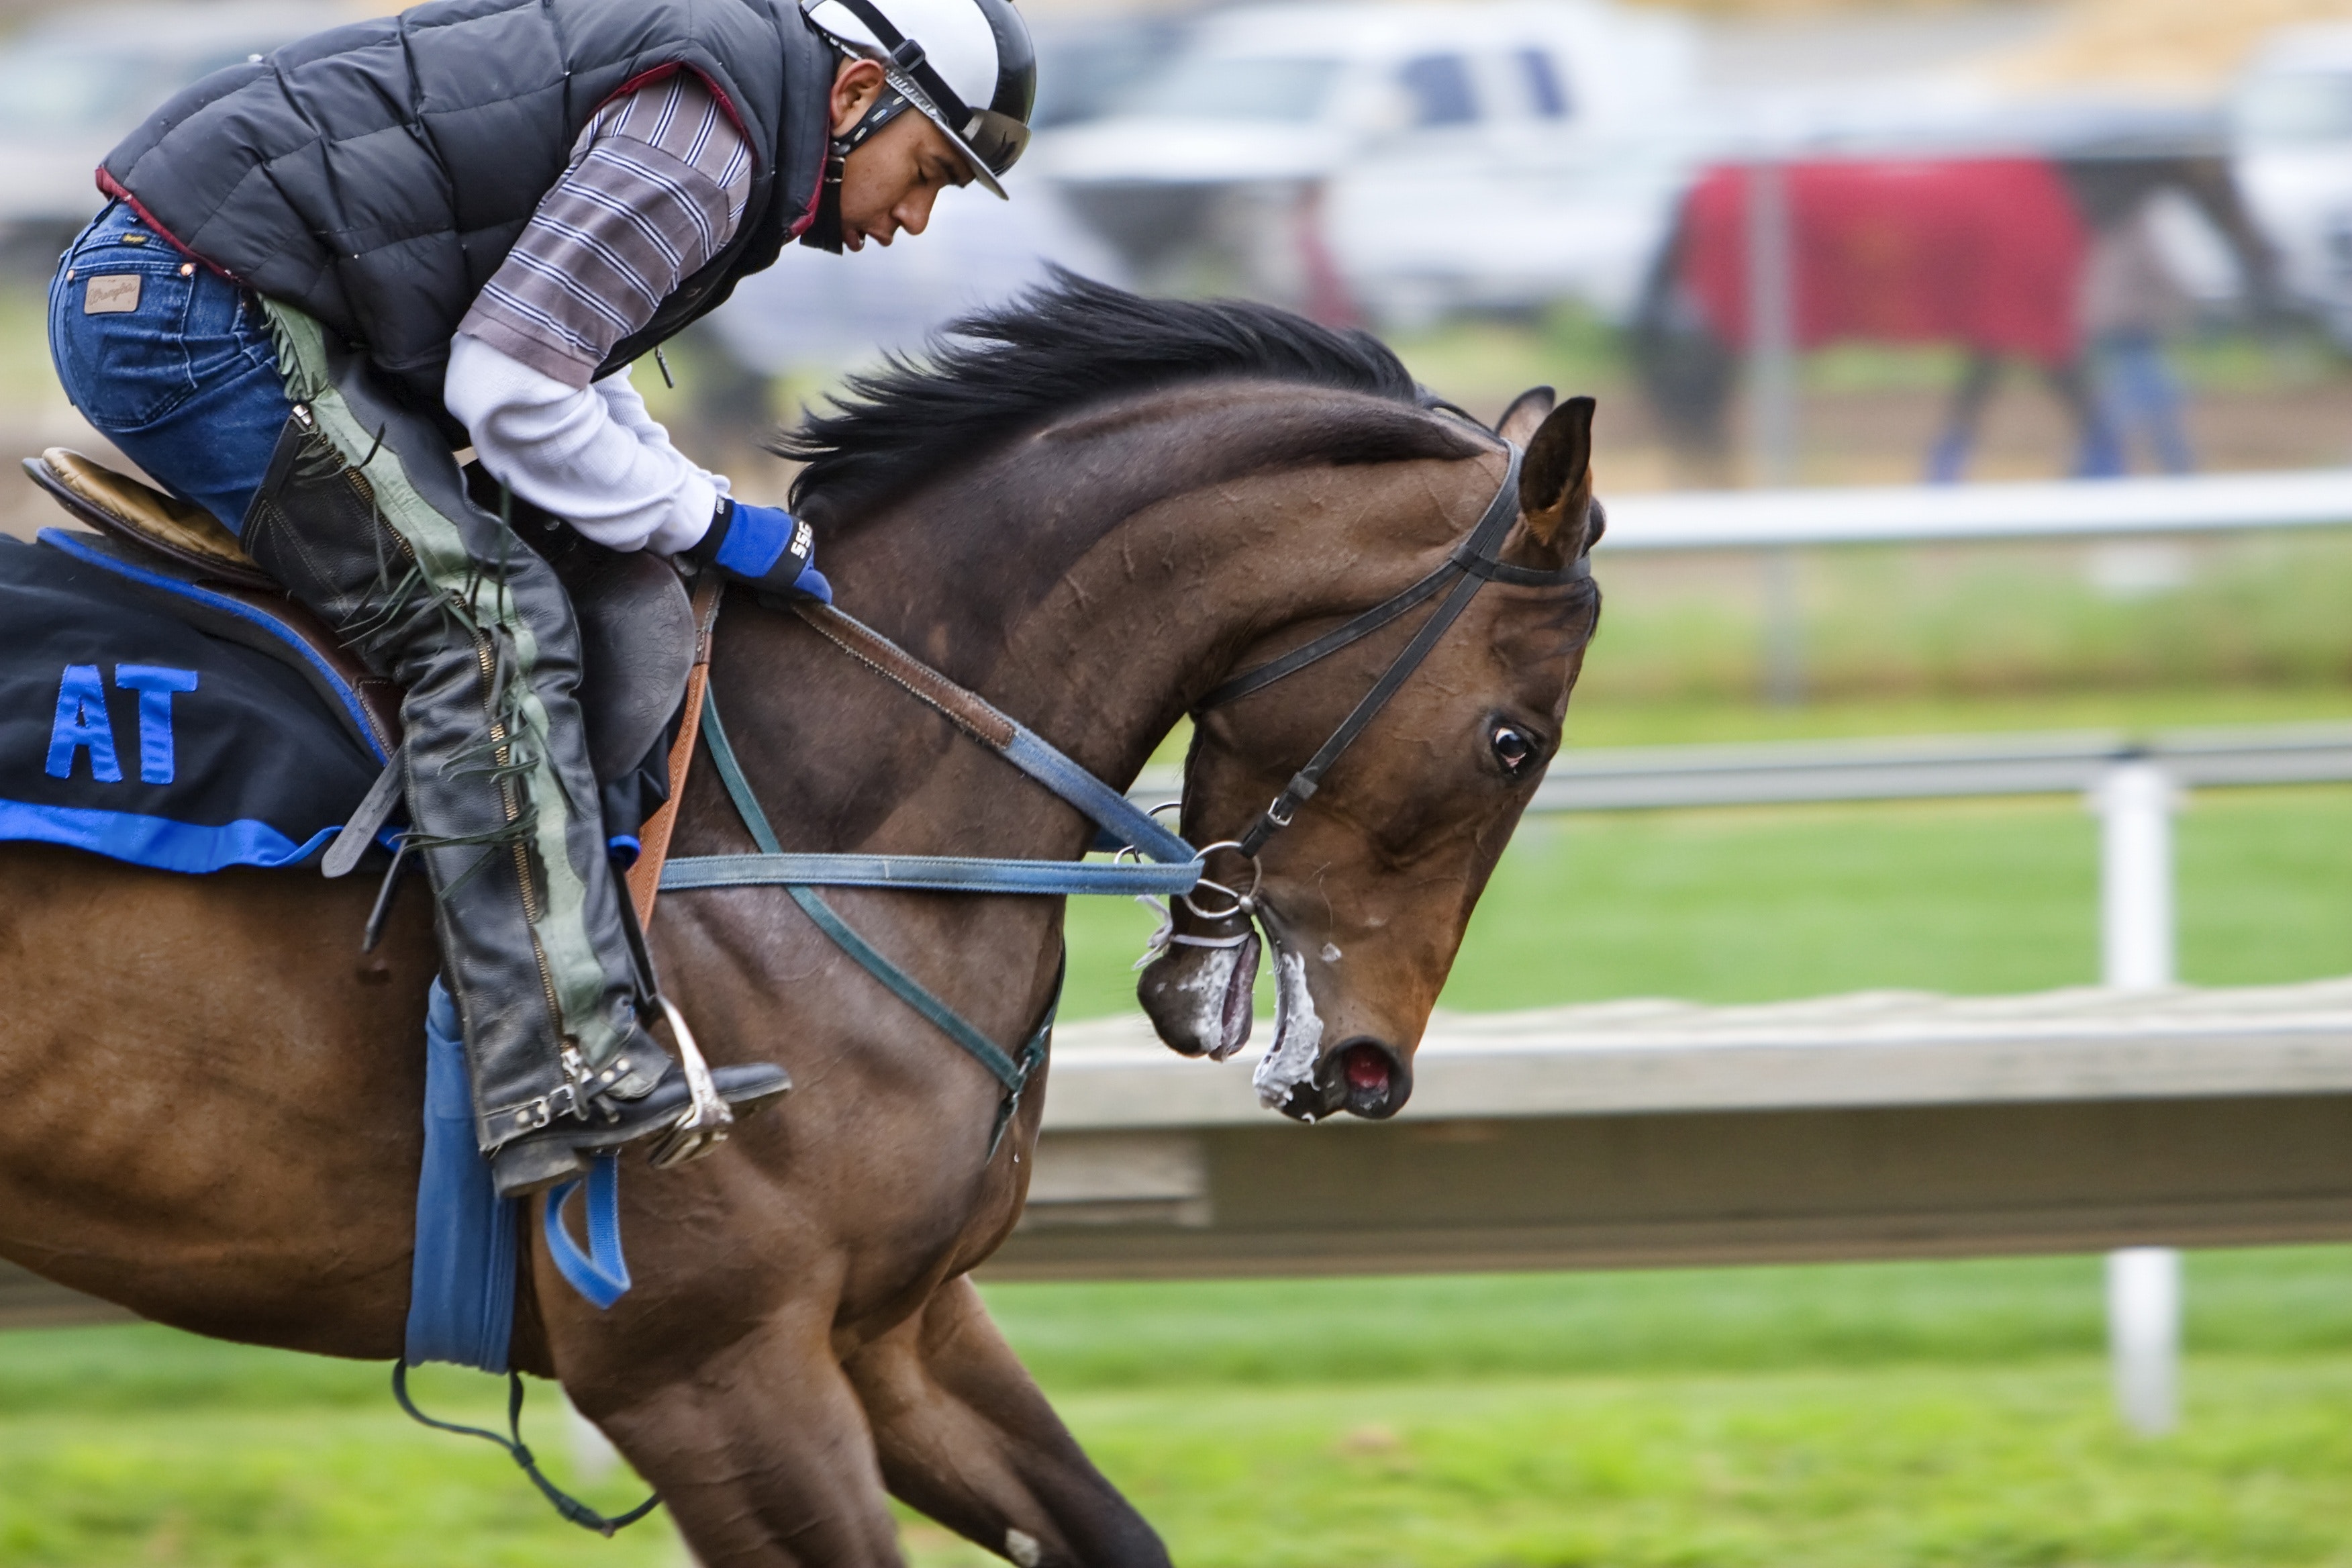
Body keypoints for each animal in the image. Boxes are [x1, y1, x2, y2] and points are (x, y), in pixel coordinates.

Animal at [0, 277, 1602, 1566]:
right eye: (1513, 742)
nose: (1368, 1070)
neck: (824, 807)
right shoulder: (704, 1368)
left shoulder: (893, 1328)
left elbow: (1112, 1530)